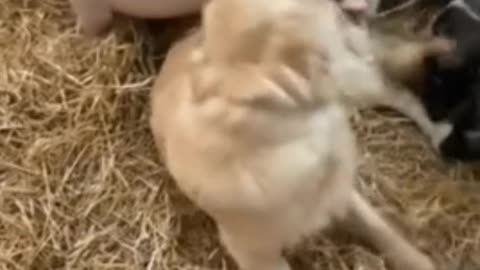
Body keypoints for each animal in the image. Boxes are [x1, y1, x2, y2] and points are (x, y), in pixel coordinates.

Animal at [151, 0, 438, 270]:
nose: (357, 10)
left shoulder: (341, 193)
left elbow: (381, 228)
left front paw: (418, 260)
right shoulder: (254, 253)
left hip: (359, 80)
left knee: (397, 92)